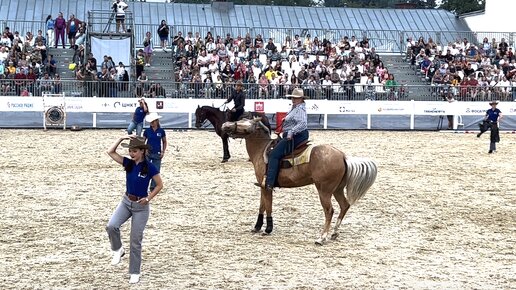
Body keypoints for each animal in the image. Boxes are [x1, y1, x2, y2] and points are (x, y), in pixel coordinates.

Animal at [220, 118, 376, 245]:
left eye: (244, 123)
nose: (224, 125)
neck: (262, 150)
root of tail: (343, 156)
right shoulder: (262, 186)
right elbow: (262, 206)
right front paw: (257, 226)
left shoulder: (267, 186)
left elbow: (268, 206)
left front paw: (268, 229)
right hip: (337, 189)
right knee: (344, 205)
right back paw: (334, 233)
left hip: (324, 191)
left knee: (329, 211)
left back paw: (321, 237)